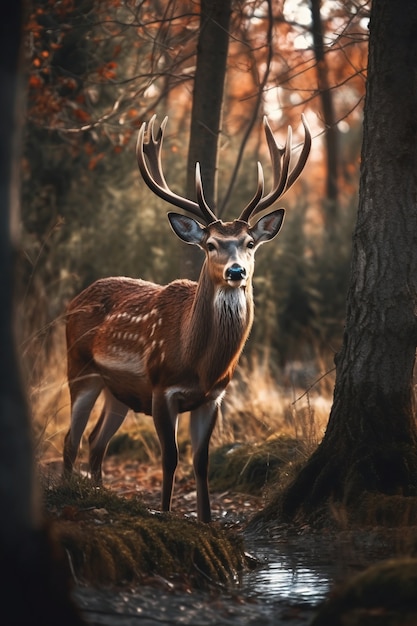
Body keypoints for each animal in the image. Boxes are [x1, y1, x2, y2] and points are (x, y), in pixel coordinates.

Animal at [61, 113, 308, 520]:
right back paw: (70, 495)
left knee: (96, 442)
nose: (236, 271)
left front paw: (206, 521)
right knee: (71, 439)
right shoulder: (163, 388)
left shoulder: (214, 397)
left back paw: (98, 494)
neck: (200, 364)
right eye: (210, 245)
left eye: (250, 243)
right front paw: (164, 513)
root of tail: (73, 300)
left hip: (118, 391)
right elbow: (170, 459)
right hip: (79, 368)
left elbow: (201, 462)